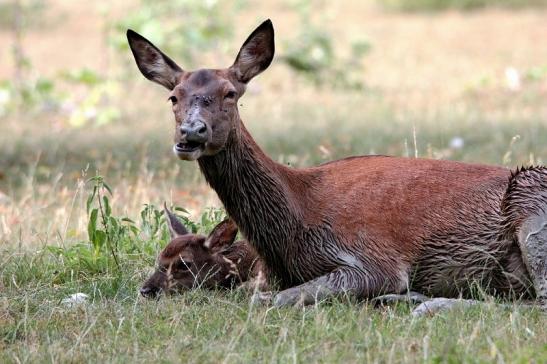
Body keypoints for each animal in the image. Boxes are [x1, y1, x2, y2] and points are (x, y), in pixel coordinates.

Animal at [126, 19, 544, 308]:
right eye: (174, 97)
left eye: (230, 93)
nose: (191, 133)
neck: (291, 233)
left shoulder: (375, 259)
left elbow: (274, 299)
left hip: (532, 203)